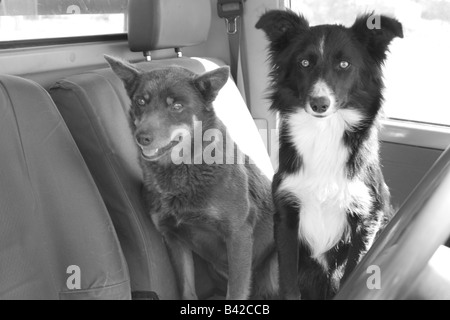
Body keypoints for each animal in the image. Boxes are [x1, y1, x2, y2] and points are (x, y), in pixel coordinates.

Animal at [106, 55, 278, 300]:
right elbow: (186, 287)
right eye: (141, 101)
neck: (183, 169)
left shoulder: (238, 235)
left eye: (177, 106)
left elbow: (235, 292)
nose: (142, 138)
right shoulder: (173, 237)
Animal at [256, 10, 404, 300]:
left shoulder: (367, 217)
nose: (319, 104)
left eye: (344, 64)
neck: (324, 132)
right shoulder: (286, 214)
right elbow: (288, 279)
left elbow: (352, 272)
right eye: (304, 62)